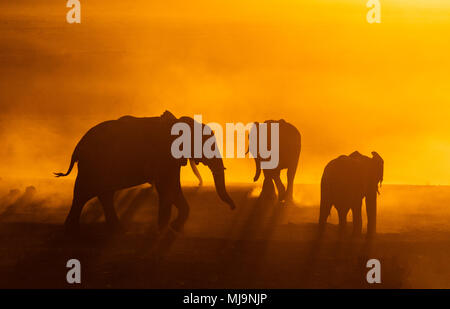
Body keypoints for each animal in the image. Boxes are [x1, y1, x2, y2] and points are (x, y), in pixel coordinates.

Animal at [54, 110, 234, 233]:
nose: (233, 208)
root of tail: (77, 147)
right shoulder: (164, 156)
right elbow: (167, 187)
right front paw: (165, 228)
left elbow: (171, 188)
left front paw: (173, 228)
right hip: (92, 165)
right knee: (82, 194)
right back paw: (72, 230)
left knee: (103, 194)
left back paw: (117, 229)